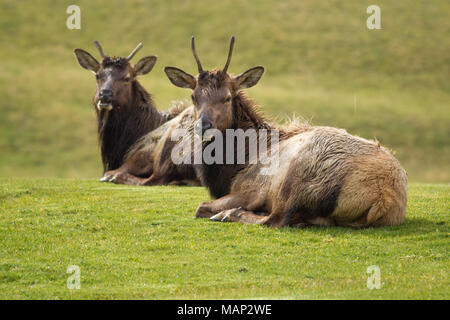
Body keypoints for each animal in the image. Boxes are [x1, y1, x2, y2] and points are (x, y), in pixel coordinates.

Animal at [164, 37, 408, 228]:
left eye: (227, 97)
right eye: (193, 96)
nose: (203, 126)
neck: (233, 167)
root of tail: (384, 197)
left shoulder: (254, 189)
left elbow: (201, 206)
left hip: (298, 180)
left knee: (276, 220)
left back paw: (228, 214)